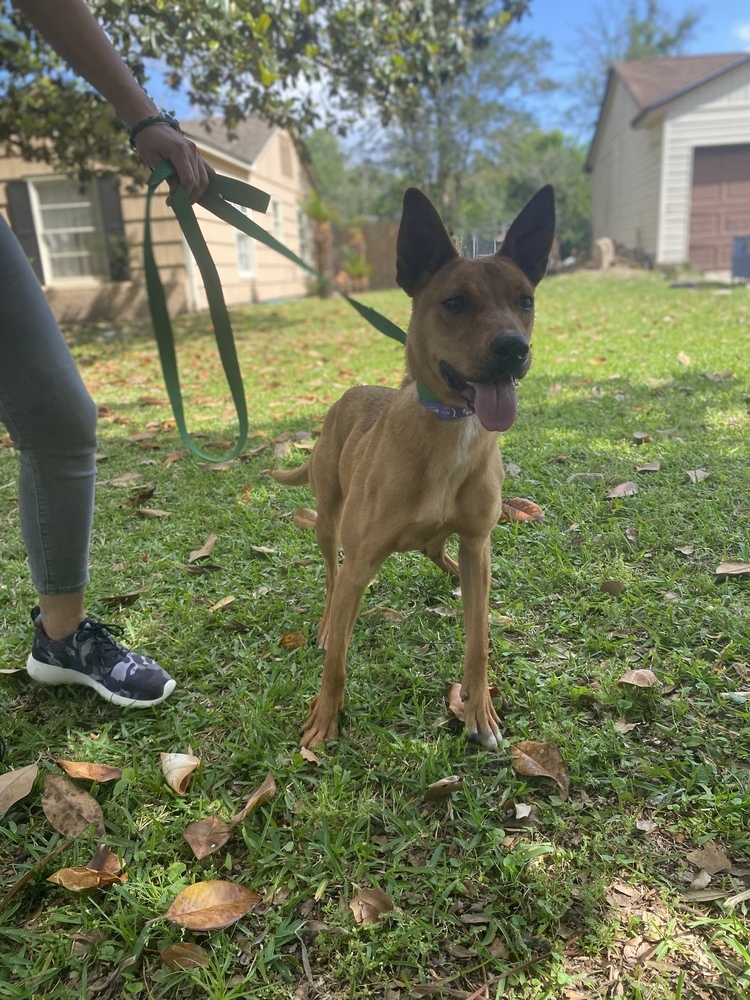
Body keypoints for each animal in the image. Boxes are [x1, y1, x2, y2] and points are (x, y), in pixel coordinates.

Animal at [274, 186, 556, 752]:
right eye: (454, 303)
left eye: (525, 300)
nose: (514, 349)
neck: (449, 433)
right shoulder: (361, 561)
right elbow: (338, 659)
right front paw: (325, 717)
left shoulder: (477, 540)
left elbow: (477, 641)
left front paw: (480, 710)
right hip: (328, 522)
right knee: (331, 576)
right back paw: (327, 620)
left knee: (440, 554)